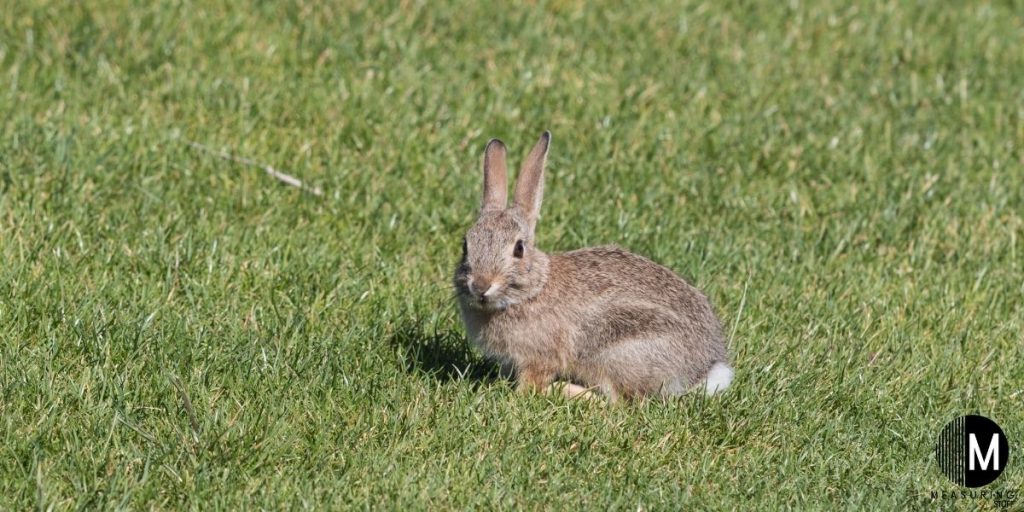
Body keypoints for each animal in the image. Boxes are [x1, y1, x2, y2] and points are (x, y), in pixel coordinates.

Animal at [453, 131, 734, 401]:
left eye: (518, 249)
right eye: (466, 245)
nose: (481, 285)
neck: (532, 290)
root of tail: (702, 370)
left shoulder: (539, 358)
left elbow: (533, 384)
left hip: (616, 351)